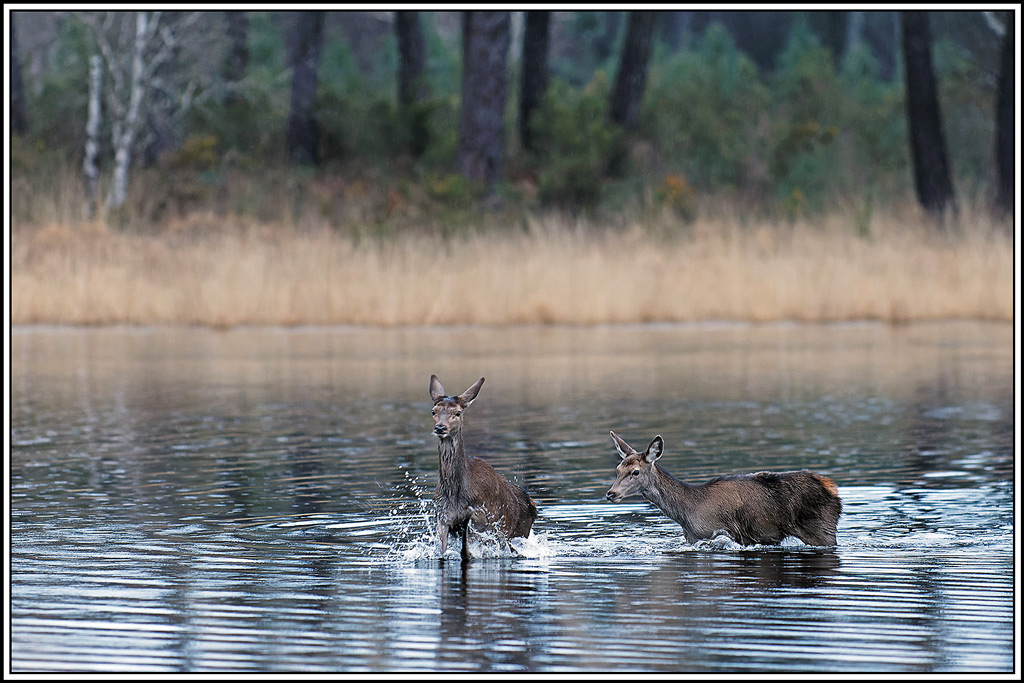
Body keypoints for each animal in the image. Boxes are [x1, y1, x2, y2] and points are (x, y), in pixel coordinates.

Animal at [429, 375, 537, 560]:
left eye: (458, 412)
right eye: (433, 411)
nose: (440, 427)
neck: (455, 494)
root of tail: (532, 504)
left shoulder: (482, 517)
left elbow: (467, 551)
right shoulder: (443, 518)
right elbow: (443, 552)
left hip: (517, 532)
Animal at [605, 431, 842, 547]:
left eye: (635, 471)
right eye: (617, 469)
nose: (611, 494)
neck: (686, 513)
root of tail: (833, 489)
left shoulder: (715, 532)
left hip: (822, 529)